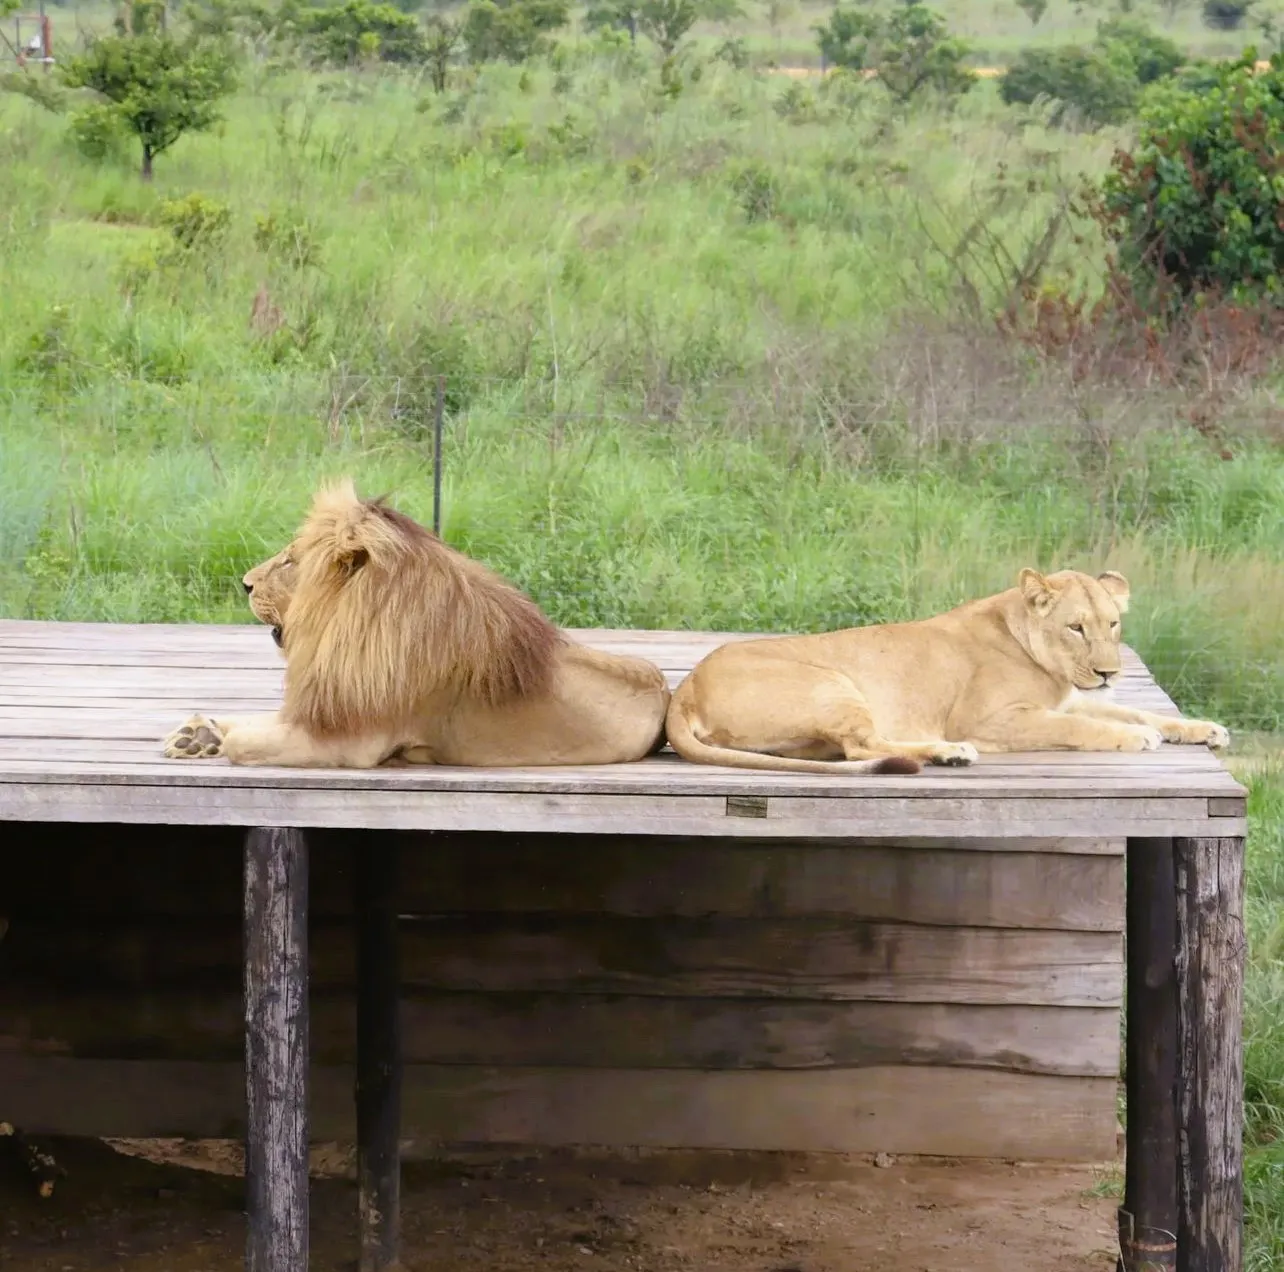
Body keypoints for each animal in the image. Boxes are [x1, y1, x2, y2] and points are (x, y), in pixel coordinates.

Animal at [163, 482, 672, 770]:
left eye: (289, 561)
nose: (245, 583)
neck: (342, 631)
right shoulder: (325, 704)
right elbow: (248, 721)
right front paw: (196, 736)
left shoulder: (351, 741)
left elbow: (245, 741)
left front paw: (213, 740)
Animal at [667, 569, 1227, 775]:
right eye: (1075, 627)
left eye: (1112, 623)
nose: (1109, 672)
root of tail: (687, 685)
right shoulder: (992, 719)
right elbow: (1079, 727)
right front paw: (1133, 740)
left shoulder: (1071, 696)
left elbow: (1142, 713)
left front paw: (1205, 729)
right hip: (834, 683)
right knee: (863, 747)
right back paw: (950, 752)